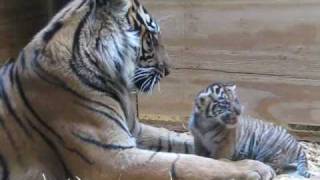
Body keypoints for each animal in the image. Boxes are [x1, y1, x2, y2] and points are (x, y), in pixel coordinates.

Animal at [0, 0, 276, 179]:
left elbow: (178, 139)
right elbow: (188, 163)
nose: (168, 70)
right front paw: (252, 168)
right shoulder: (113, 158)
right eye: (151, 39)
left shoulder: (135, 130)